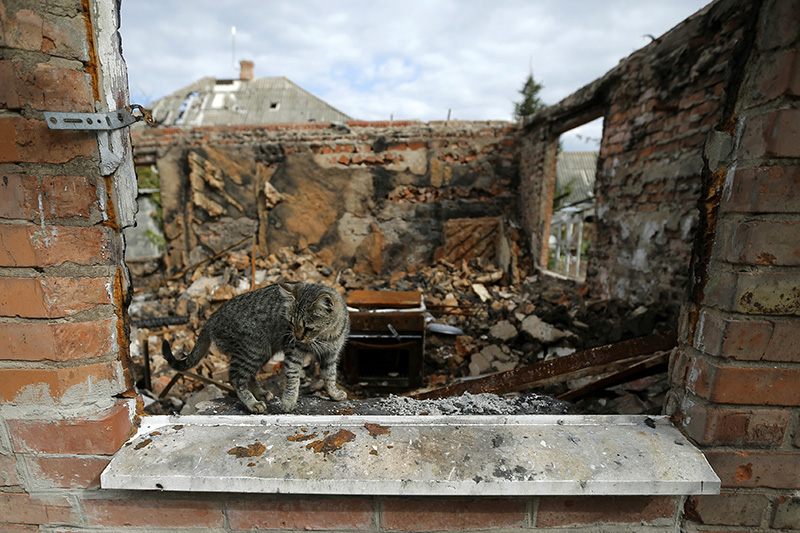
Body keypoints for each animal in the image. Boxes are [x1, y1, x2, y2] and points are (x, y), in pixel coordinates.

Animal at [161, 282, 348, 412]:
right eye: (291, 323)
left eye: (308, 328)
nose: (297, 336)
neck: (325, 337)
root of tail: (211, 318)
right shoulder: (293, 351)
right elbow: (293, 377)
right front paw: (289, 401)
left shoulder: (331, 355)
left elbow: (330, 376)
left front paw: (334, 394)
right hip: (254, 350)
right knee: (236, 377)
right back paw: (252, 403)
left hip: (259, 353)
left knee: (247, 375)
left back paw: (260, 393)